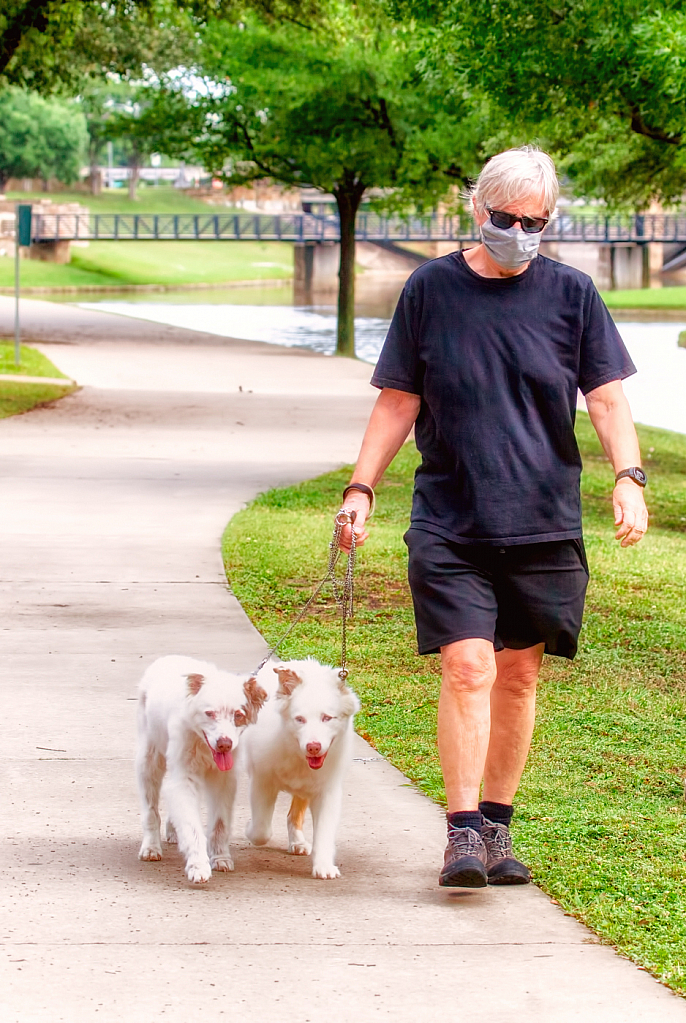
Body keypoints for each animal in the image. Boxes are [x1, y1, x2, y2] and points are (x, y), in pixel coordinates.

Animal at [136, 658, 267, 883]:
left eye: (238, 715)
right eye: (209, 713)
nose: (224, 744)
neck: (203, 745)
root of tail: (167, 658)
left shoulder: (224, 780)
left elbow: (220, 823)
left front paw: (221, 858)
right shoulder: (184, 778)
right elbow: (191, 826)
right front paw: (198, 865)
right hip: (149, 759)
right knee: (151, 809)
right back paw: (151, 847)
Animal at [243, 662, 359, 879]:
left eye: (327, 718)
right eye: (299, 719)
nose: (313, 747)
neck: (295, 752)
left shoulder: (326, 790)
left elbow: (324, 830)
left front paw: (324, 866)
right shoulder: (262, 781)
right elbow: (261, 829)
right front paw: (249, 829)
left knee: (293, 815)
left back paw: (297, 842)